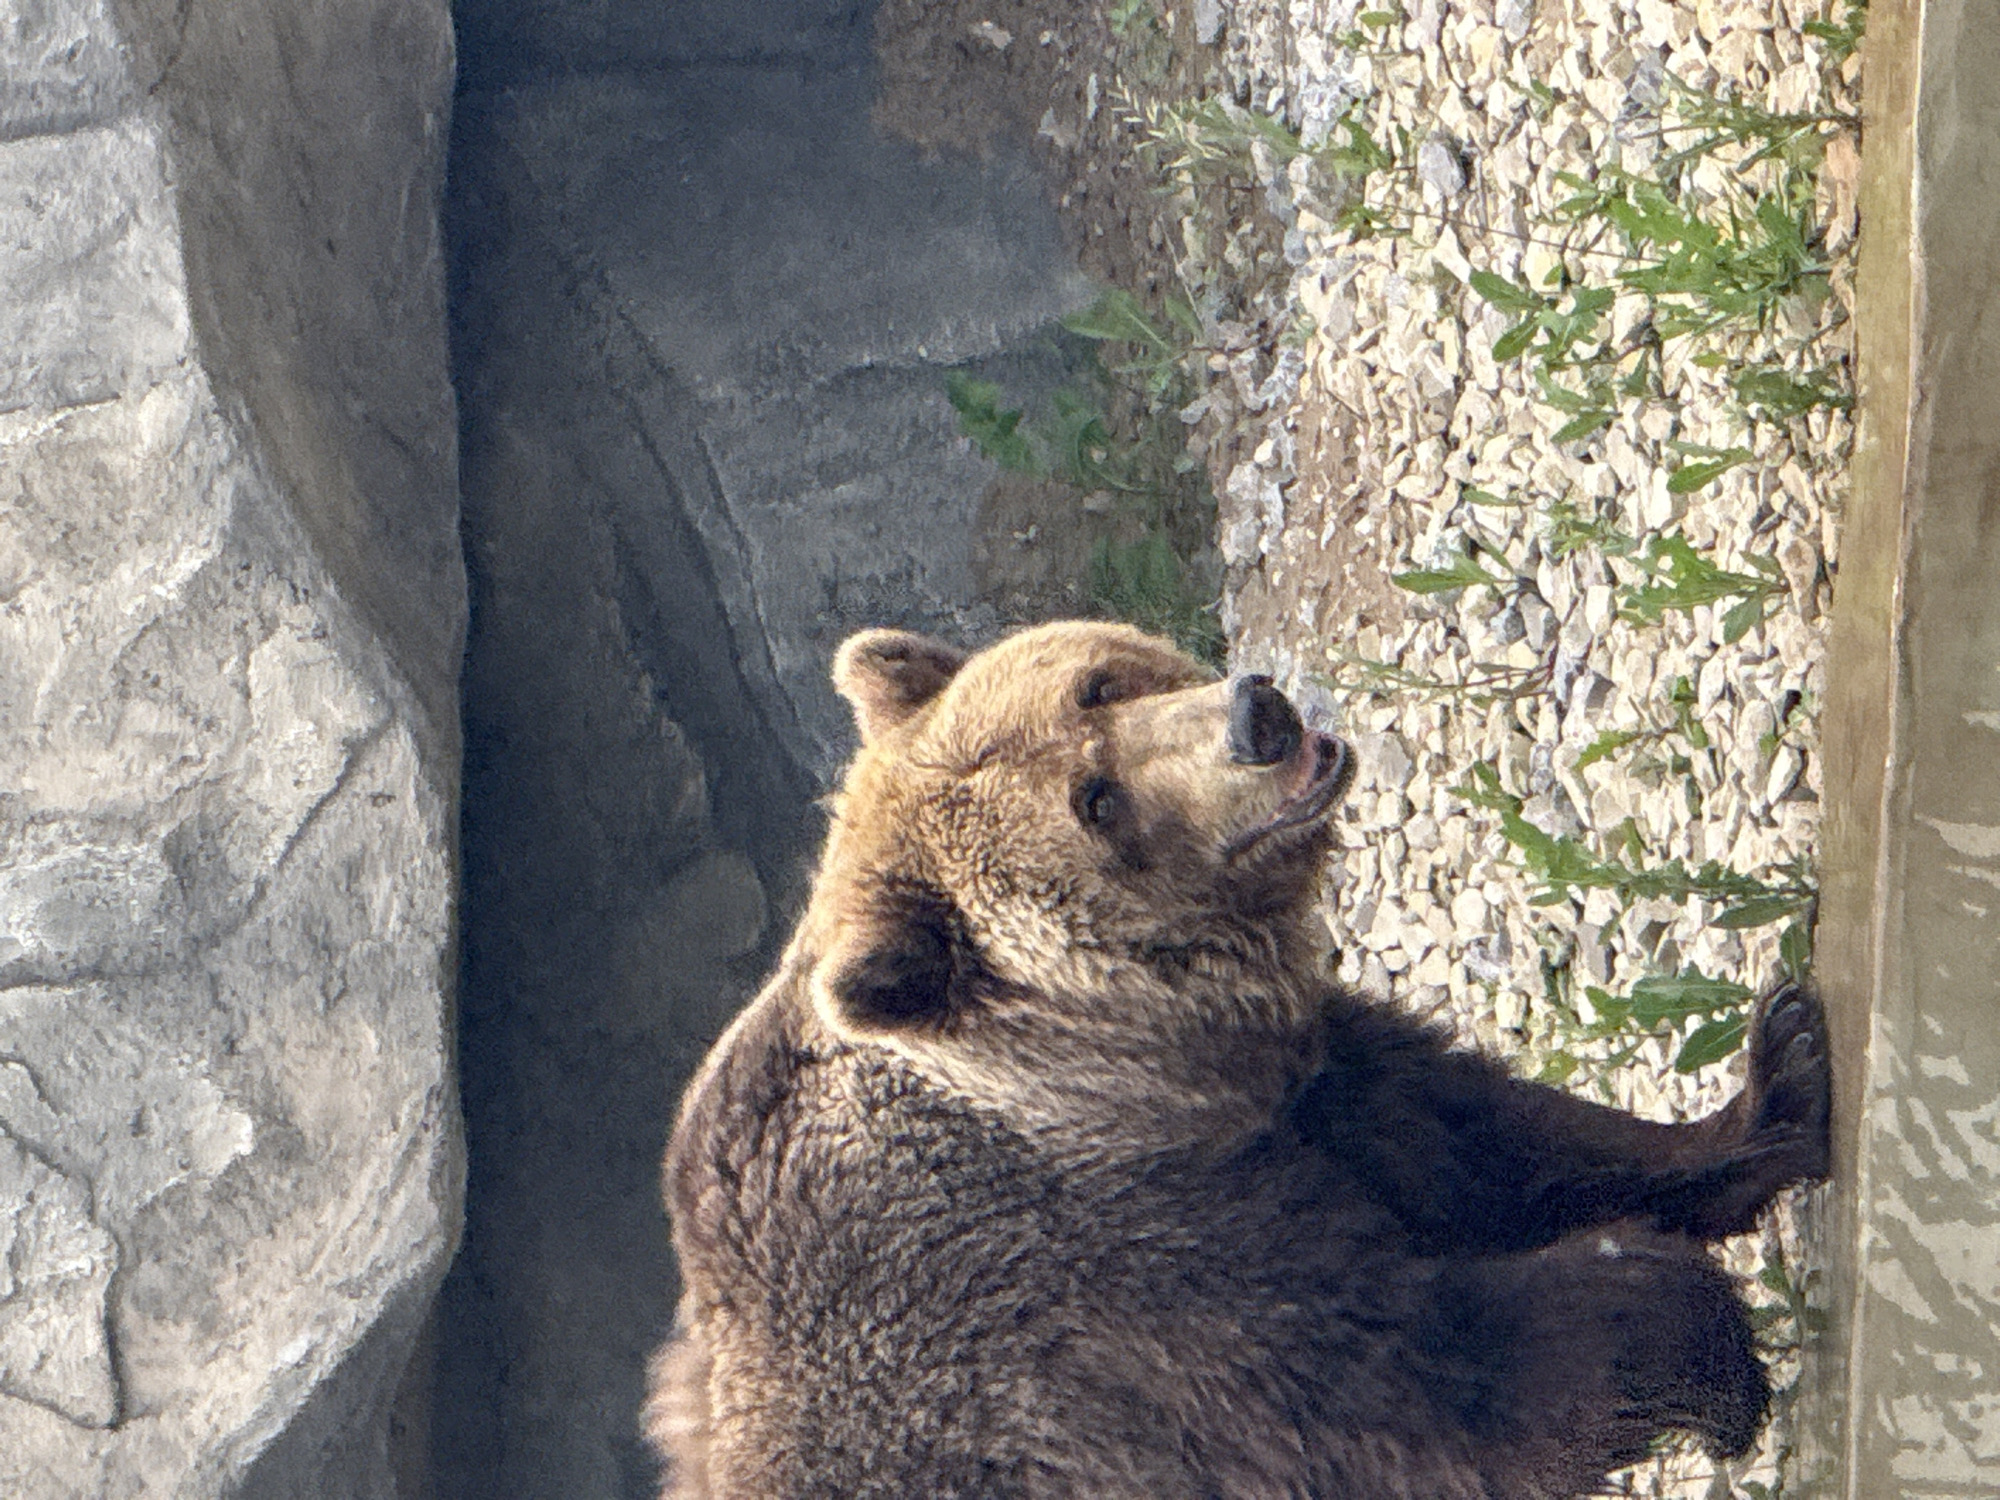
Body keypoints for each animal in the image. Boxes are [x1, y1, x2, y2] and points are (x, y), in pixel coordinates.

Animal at [645, 620, 1831, 1499]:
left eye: (1098, 685)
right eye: (1096, 803)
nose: (1255, 716)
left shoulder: (1295, 1100)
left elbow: (1485, 1138)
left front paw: (1779, 1079)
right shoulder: (1100, 1301)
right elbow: (1419, 1389)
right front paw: (1699, 1343)